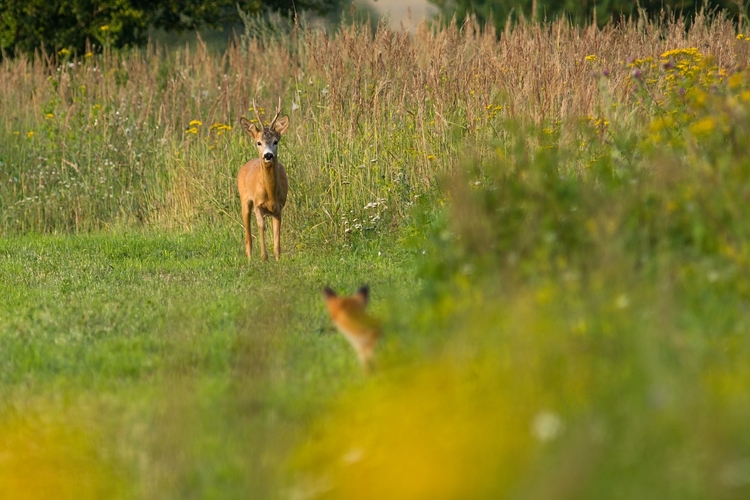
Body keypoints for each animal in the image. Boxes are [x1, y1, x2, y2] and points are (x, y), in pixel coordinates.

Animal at [238, 98, 290, 262]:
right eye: (258, 142)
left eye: (276, 141)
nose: (268, 155)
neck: (270, 194)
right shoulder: (257, 205)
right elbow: (261, 226)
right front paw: (264, 257)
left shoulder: (279, 208)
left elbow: (277, 238)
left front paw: (278, 259)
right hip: (244, 200)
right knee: (248, 235)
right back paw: (249, 258)